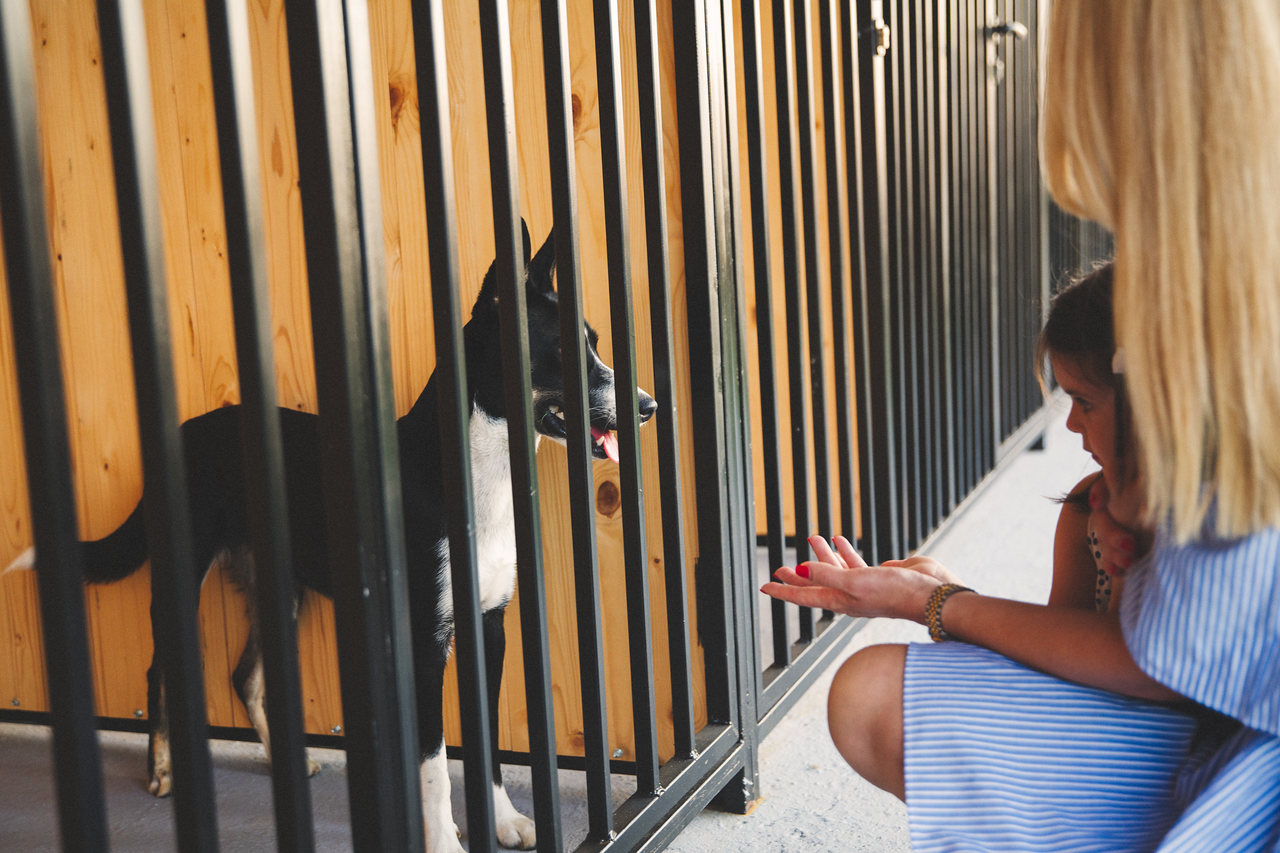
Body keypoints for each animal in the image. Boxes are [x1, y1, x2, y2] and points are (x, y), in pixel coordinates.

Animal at [5, 222, 655, 845]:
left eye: (595, 342)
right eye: (565, 349)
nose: (647, 405)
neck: (470, 470)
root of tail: (184, 432)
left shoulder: (487, 628)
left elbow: (488, 740)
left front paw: (501, 821)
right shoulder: (427, 642)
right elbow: (434, 766)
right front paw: (444, 839)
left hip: (282, 591)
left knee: (243, 676)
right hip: (180, 580)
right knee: (158, 671)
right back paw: (162, 769)